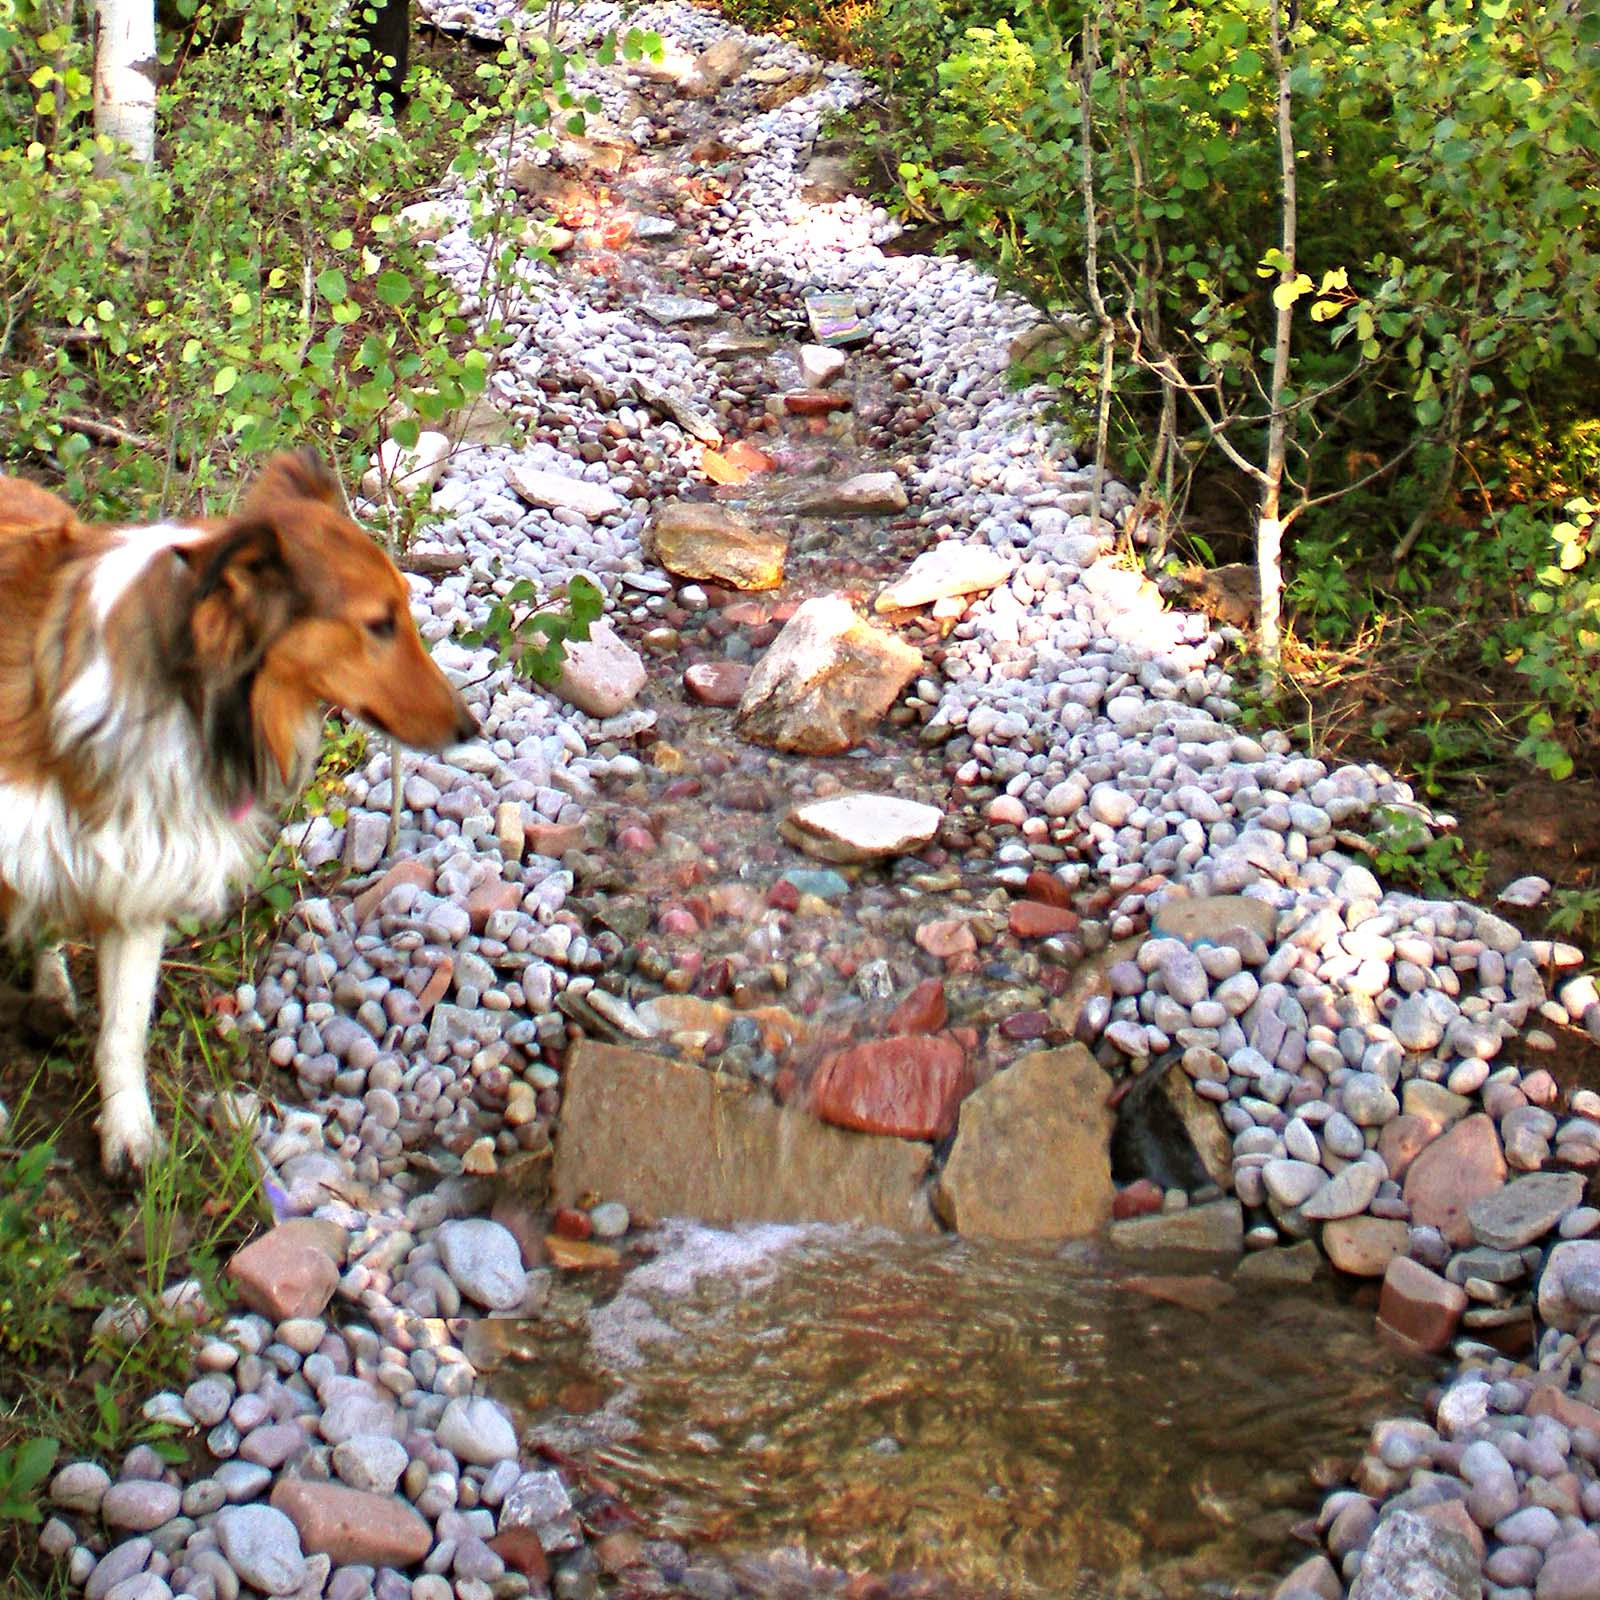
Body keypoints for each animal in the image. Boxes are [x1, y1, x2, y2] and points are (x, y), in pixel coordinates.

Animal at [0, 451, 473, 1177]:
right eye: (379, 623)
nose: (470, 727)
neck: (180, 694)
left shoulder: (143, 869)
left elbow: (124, 1030)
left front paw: (131, 1136)